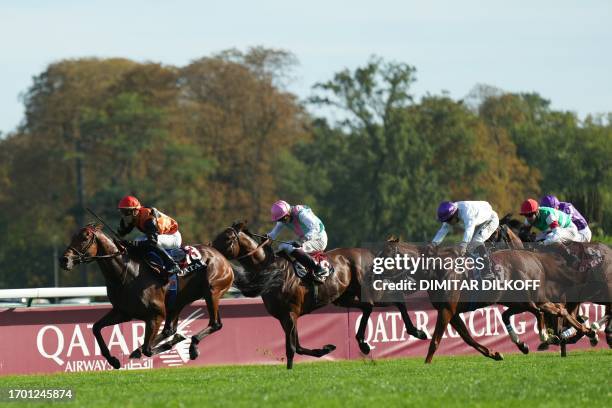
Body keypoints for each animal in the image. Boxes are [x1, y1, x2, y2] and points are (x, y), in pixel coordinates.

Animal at [59, 225, 233, 368]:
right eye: (73, 236)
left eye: (85, 238)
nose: (64, 260)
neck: (127, 274)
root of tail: (218, 253)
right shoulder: (123, 312)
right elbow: (96, 328)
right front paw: (113, 360)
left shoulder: (156, 315)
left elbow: (148, 350)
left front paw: (171, 344)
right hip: (178, 301)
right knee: (169, 330)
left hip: (212, 291)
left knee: (215, 323)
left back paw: (192, 346)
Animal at [210, 223, 426, 370]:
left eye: (227, 238)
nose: (210, 250)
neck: (271, 270)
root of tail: (371, 255)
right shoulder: (284, 317)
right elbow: (296, 346)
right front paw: (325, 349)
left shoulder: (290, 313)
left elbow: (291, 347)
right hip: (342, 298)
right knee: (370, 306)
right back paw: (367, 342)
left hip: (369, 289)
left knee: (392, 301)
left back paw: (413, 332)